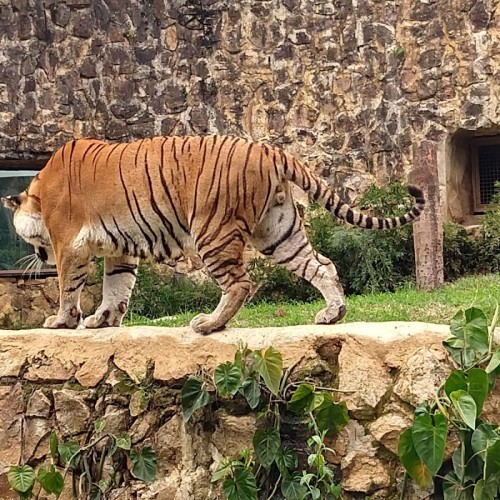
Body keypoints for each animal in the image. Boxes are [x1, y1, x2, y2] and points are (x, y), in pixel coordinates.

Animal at [1, 135, 426, 334]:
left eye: (36, 244)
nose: (38, 257)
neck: (39, 190)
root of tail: (270, 150)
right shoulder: (120, 250)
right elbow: (117, 287)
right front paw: (102, 320)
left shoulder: (68, 244)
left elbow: (68, 286)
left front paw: (61, 321)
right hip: (278, 232)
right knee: (321, 264)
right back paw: (332, 314)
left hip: (211, 231)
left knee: (240, 284)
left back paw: (209, 324)